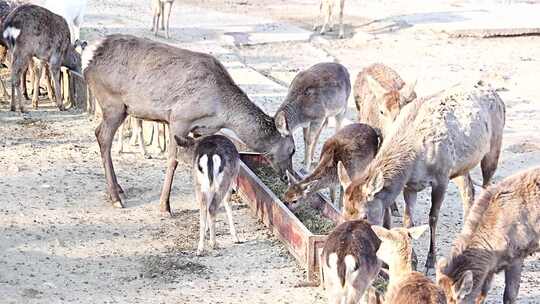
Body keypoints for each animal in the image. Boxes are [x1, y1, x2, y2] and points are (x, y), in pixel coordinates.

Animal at [83, 34, 296, 215]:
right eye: (292, 149)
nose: (288, 177)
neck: (222, 110)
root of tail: (87, 58)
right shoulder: (179, 118)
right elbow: (173, 159)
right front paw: (165, 206)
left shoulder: (199, 130)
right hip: (113, 103)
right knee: (102, 136)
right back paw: (115, 197)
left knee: (98, 132)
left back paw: (118, 189)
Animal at [338, 82, 506, 274]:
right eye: (343, 213)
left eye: (364, 216)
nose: (350, 248)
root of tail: (496, 94)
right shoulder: (410, 185)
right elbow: (408, 220)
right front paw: (413, 260)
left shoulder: (442, 176)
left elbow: (433, 217)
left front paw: (430, 261)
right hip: (461, 165)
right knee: (468, 189)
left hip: (494, 146)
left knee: (487, 186)